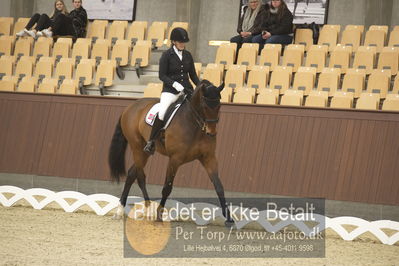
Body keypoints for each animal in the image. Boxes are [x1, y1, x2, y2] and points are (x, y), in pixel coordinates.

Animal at [108, 79, 234, 227]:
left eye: (219, 106)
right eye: (204, 106)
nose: (211, 133)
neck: (194, 124)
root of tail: (130, 107)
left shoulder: (209, 158)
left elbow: (219, 186)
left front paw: (229, 218)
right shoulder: (175, 159)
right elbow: (167, 188)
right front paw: (158, 216)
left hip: (144, 152)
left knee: (132, 174)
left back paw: (125, 210)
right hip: (137, 147)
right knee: (140, 176)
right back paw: (147, 210)